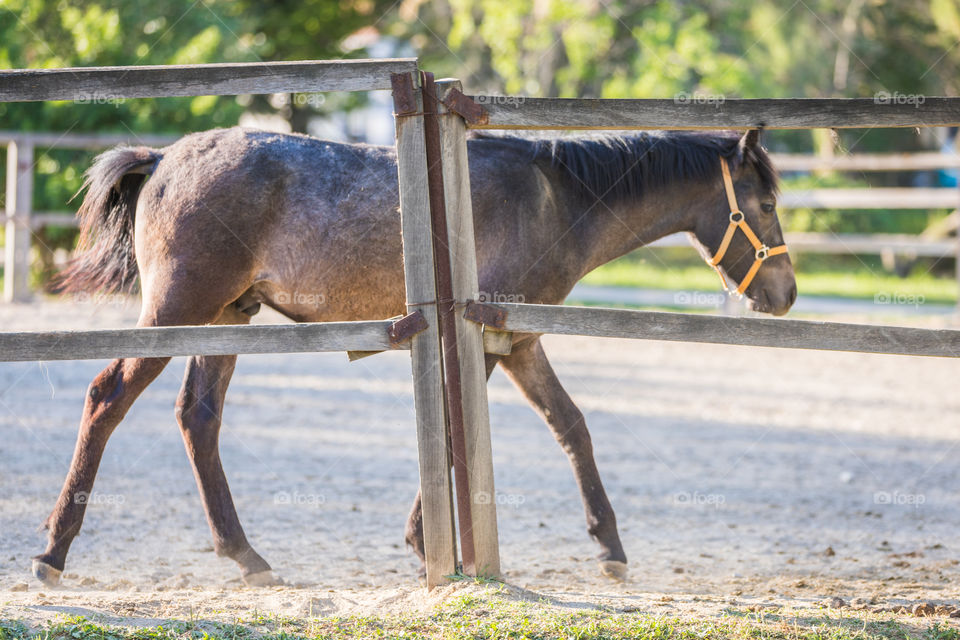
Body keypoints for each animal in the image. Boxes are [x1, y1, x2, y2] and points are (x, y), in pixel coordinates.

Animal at [31, 126, 796, 587]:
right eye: (763, 203)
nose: (785, 293)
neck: (554, 197)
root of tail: (163, 159)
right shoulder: (484, 340)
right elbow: (459, 436)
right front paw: (427, 540)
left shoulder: (520, 341)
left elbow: (572, 427)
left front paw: (609, 547)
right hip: (178, 310)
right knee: (107, 398)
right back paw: (52, 553)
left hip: (225, 319)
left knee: (199, 418)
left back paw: (246, 557)